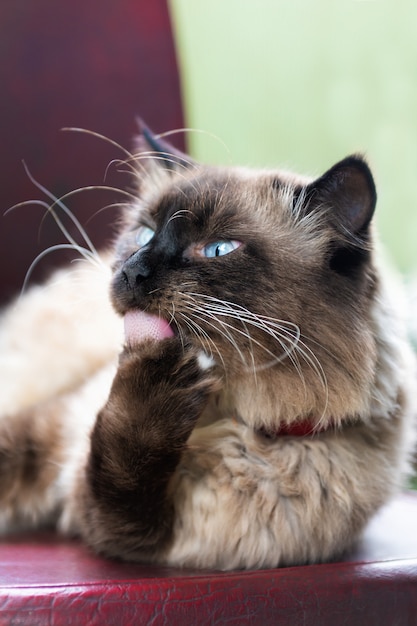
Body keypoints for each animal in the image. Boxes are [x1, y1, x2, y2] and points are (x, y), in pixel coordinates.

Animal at [0, 119, 414, 568]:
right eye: (144, 234)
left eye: (218, 249)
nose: (132, 271)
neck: (226, 417)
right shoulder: (53, 441)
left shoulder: (137, 534)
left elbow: (123, 463)